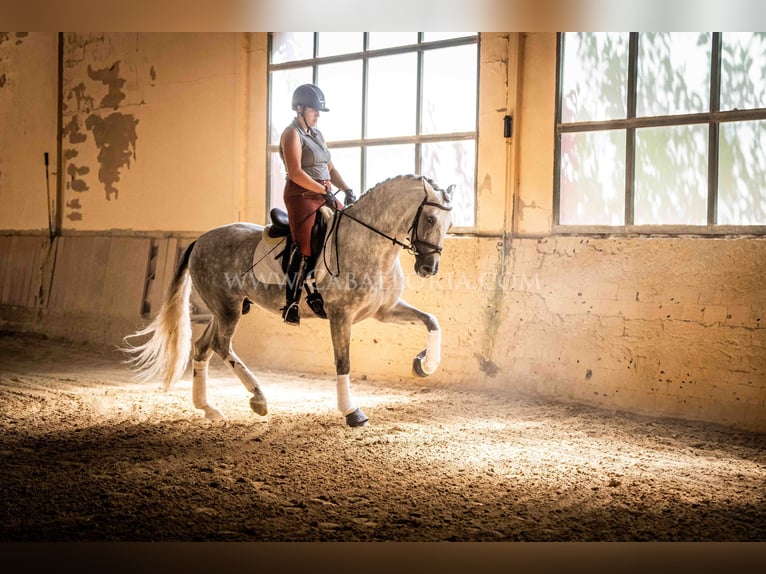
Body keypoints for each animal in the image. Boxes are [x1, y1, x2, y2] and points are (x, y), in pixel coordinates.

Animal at [123, 176, 452, 428]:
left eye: (449, 224)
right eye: (430, 219)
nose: (429, 267)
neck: (370, 245)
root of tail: (200, 240)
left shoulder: (383, 311)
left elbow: (432, 320)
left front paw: (426, 364)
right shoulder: (340, 315)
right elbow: (343, 361)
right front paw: (352, 412)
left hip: (222, 308)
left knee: (203, 347)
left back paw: (209, 408)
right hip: (228, 309)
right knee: (220, 345)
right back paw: (258, 399)